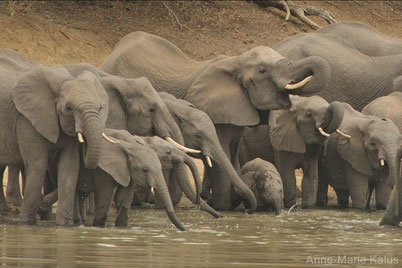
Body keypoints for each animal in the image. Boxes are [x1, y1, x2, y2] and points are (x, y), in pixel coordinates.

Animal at [0, 63, 110, 225]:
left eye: (100, 108)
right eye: (69, 108)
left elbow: (69, 167)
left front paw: (64, 225)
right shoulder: (27, 121)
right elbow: (38, 165)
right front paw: (27, 223)